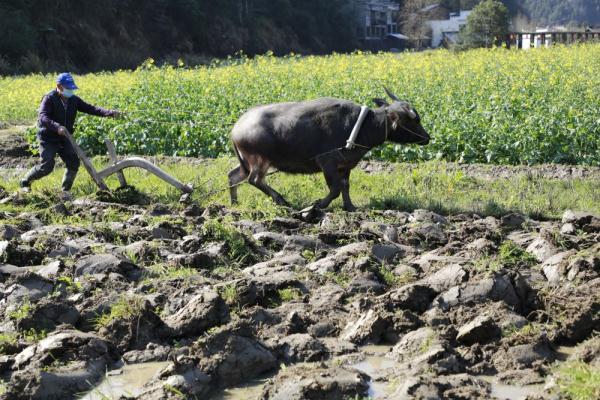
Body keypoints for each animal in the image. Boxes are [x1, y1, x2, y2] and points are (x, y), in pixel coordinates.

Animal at [227, 88, 428, 211]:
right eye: (414, 120)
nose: (427, 137)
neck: (363, 126)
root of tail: (236, 128)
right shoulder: (327, 162)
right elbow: (335, 189)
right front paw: (319, 204)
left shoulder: (345, 165)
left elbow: (345, 186)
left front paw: (350, 207)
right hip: (259, 159)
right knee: (254, 180)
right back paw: (282, 200)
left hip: (247, 162)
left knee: (234, 177)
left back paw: (234, 203)